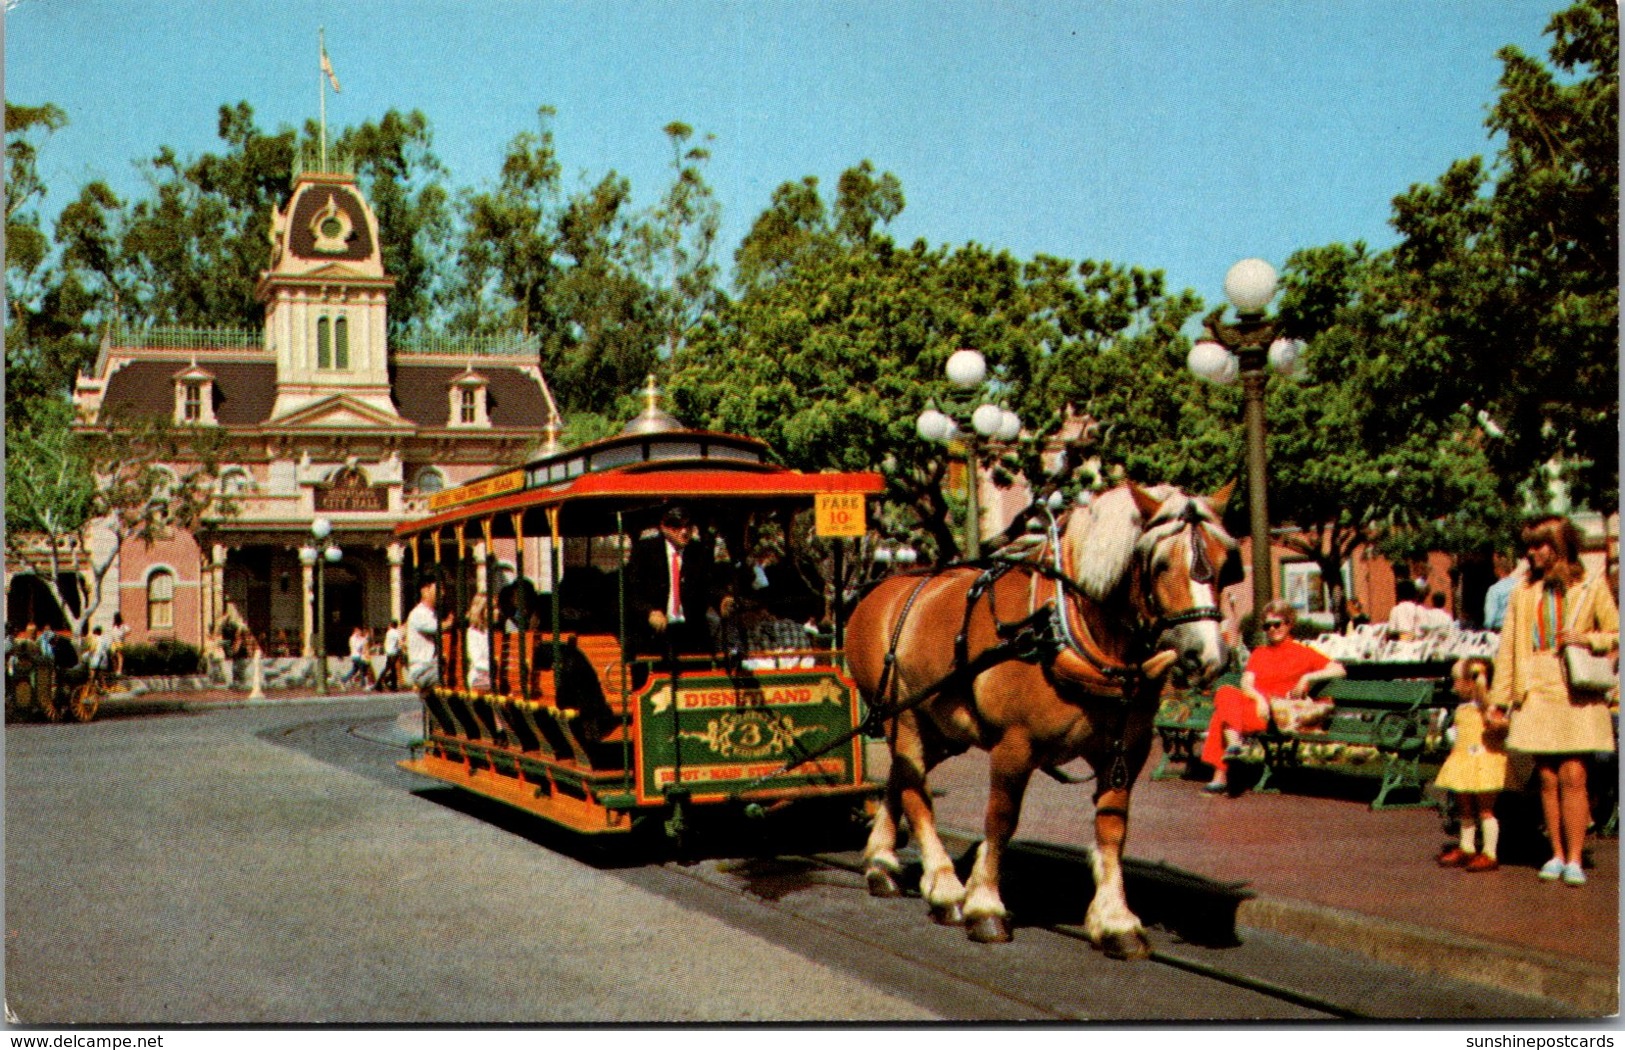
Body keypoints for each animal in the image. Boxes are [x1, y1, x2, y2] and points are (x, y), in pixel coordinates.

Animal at [845, 481, 1235, 955]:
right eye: (1160, 564)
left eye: (1225, 563)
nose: (1208, 657)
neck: (1063, 628)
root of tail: (877, 594)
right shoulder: (1015, 743)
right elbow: (1001, 819)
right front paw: (984, 905)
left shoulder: (1127, 750)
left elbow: (1112, 828)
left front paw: (1116, 921)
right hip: (903, 718)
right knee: (916, 792)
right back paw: (945, 888)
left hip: (943, 731)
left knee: (899, 780)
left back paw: (882, 863)